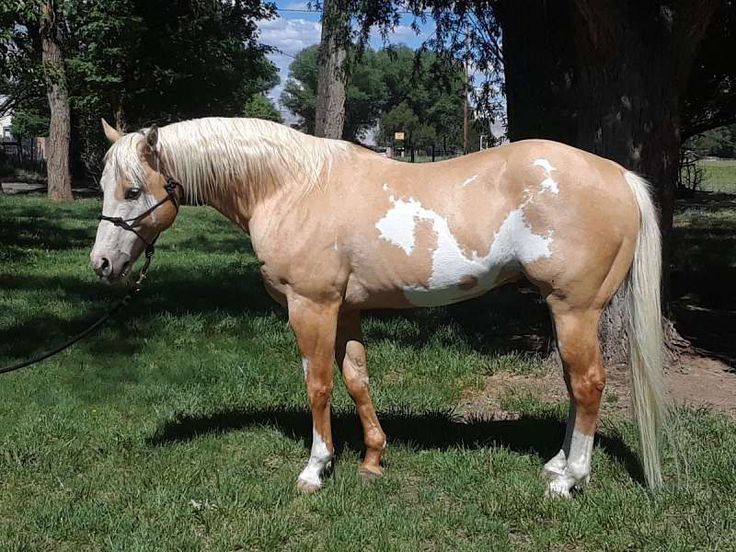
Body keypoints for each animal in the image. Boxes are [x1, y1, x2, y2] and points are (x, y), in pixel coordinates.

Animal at [90, 118, 668, 498]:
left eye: (133, 190)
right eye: (103, 186)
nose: (101, 263)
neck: (291, 188)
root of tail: (617, 175)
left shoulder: (312, 306)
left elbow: (318, 384)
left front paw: (315, 469)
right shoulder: (345, 309)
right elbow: (356, 379)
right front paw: (372, 458)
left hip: (575, 309)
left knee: (588, 384)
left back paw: (570, 480)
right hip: (565, 311)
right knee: (573, 386)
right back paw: (556, 464)